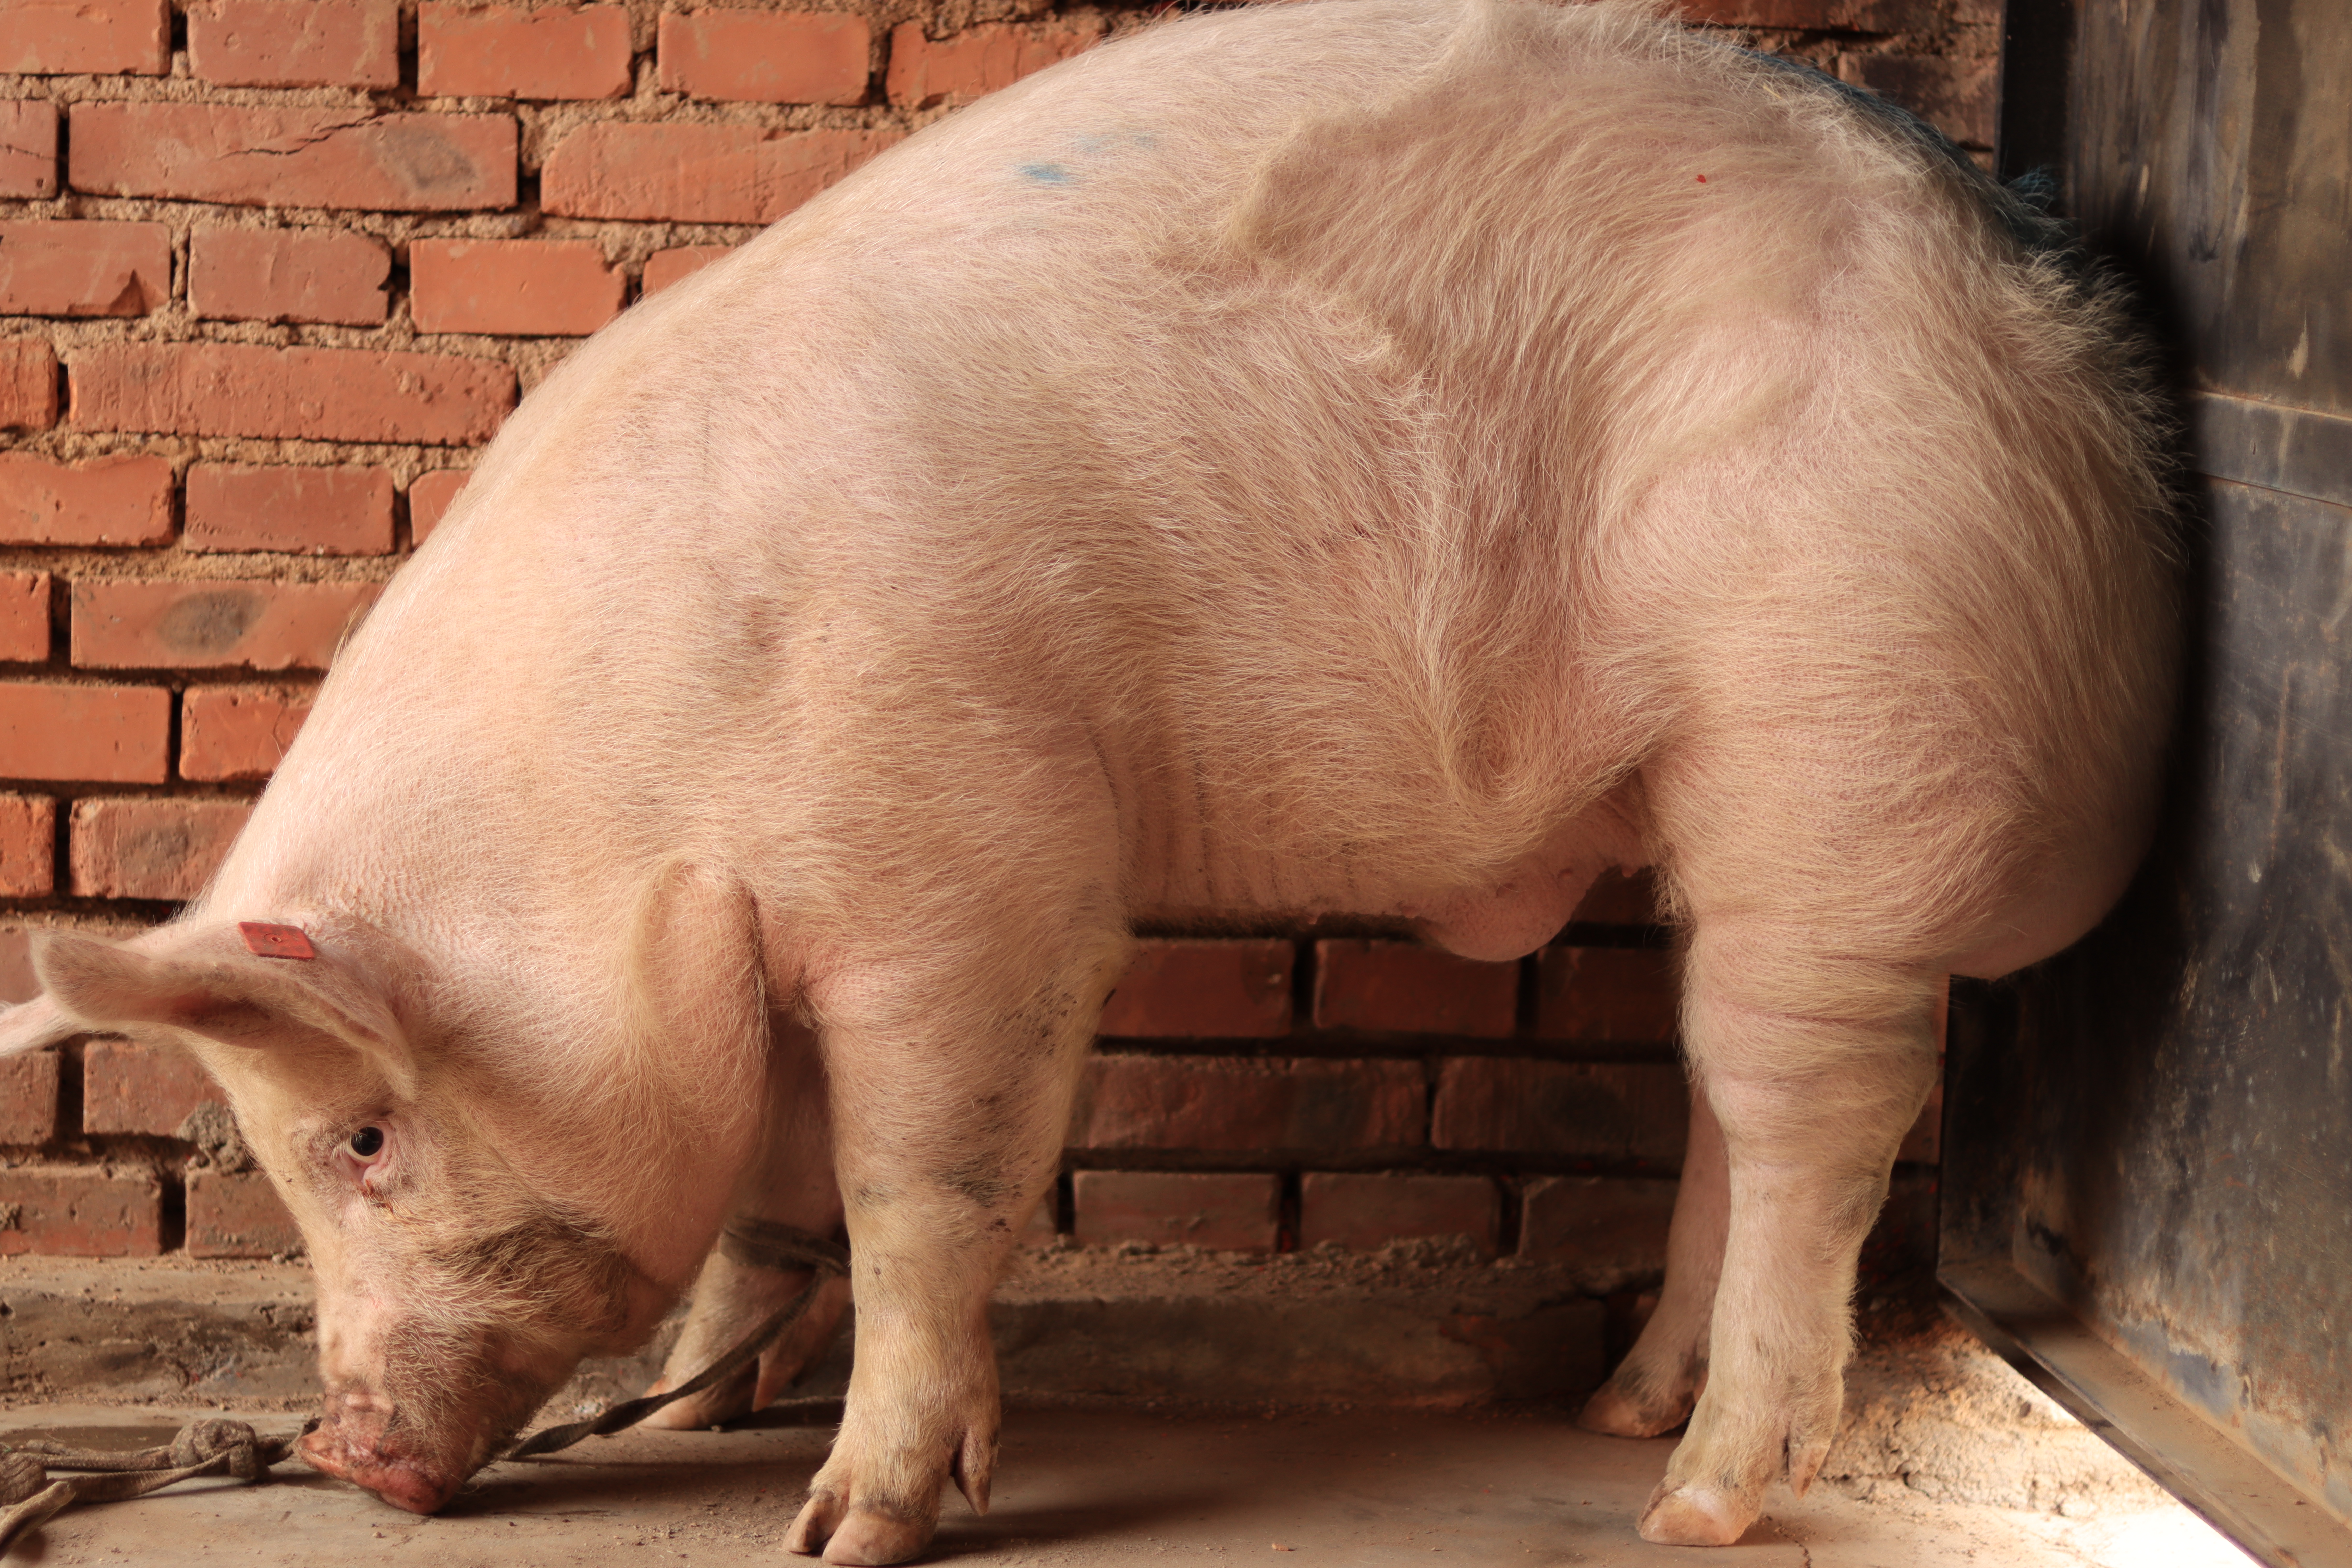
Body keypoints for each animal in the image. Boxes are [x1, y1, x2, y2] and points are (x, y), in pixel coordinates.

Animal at [0, 0, 2177, 1559]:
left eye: (361, 1140)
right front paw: (704, 1407)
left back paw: (1693, 1497)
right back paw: (1612, 1411)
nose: (352, 1451)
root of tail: (2044, 311)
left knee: (1808, 1113)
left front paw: (839, 1529)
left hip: (1842, 741)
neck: (630, 804)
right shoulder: (769, 937)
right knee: (1727, 1096)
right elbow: (774, 1196)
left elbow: (918, 1191)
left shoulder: (970, 878)